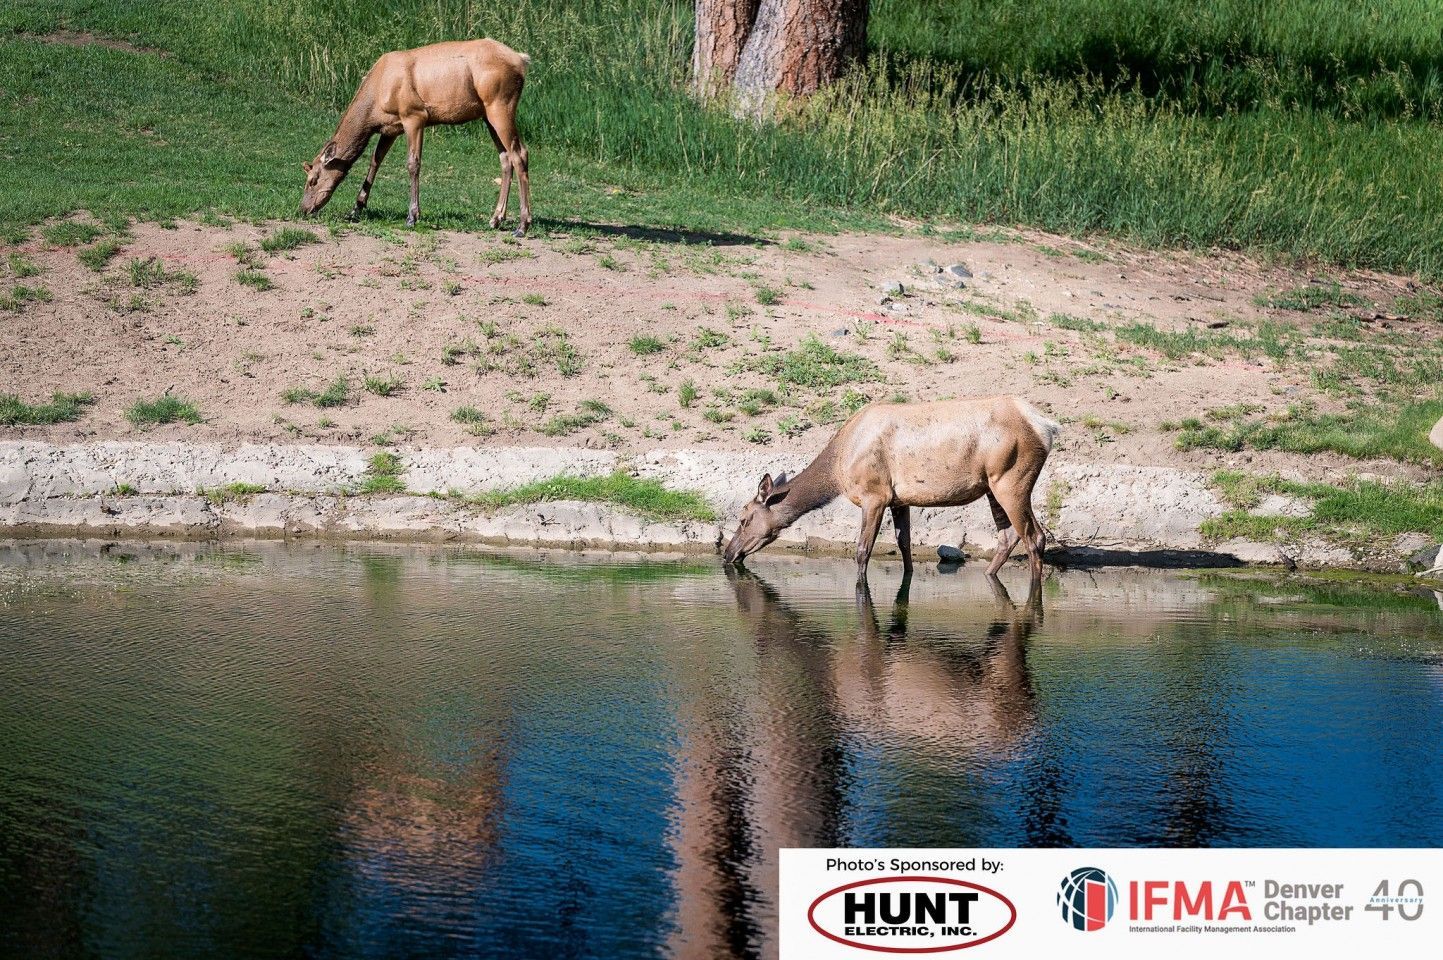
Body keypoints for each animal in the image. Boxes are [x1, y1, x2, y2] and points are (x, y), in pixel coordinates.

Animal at [299, 39, 532, 234]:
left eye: (313, 180)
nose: (303, 208)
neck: (374, 104)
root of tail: (522, 60)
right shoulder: (390, 128)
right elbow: (375, 161)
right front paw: (356, 208)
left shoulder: (414, 115)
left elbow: (413, 163)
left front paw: (412, 216)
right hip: (487, 114)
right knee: (505, 158)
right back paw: (496, 218)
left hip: (500, 105)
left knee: (519, 153)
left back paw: (522, 224)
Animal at [722, 396, 1060, 582]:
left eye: (744, 518)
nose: (728, 553)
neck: (838, 468)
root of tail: (1047, 427)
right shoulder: (900, 499)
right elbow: (904, 544)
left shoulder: (875, 494)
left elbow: (862, 551)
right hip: (992, 485)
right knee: (1008, 535)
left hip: (1012, 479)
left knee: (1034, 536)